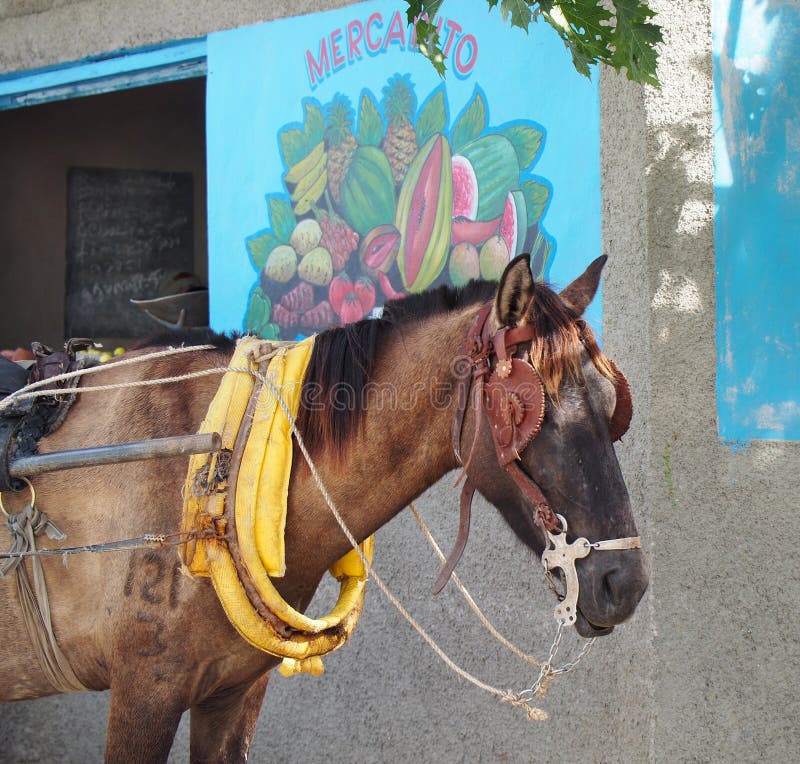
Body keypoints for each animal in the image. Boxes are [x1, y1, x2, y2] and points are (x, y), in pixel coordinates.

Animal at [0, 255, 648, 760]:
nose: (625, 584)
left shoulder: (231, 698)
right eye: (527, 413)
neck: (216, 464)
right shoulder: (143, 694)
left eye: (612, 405)